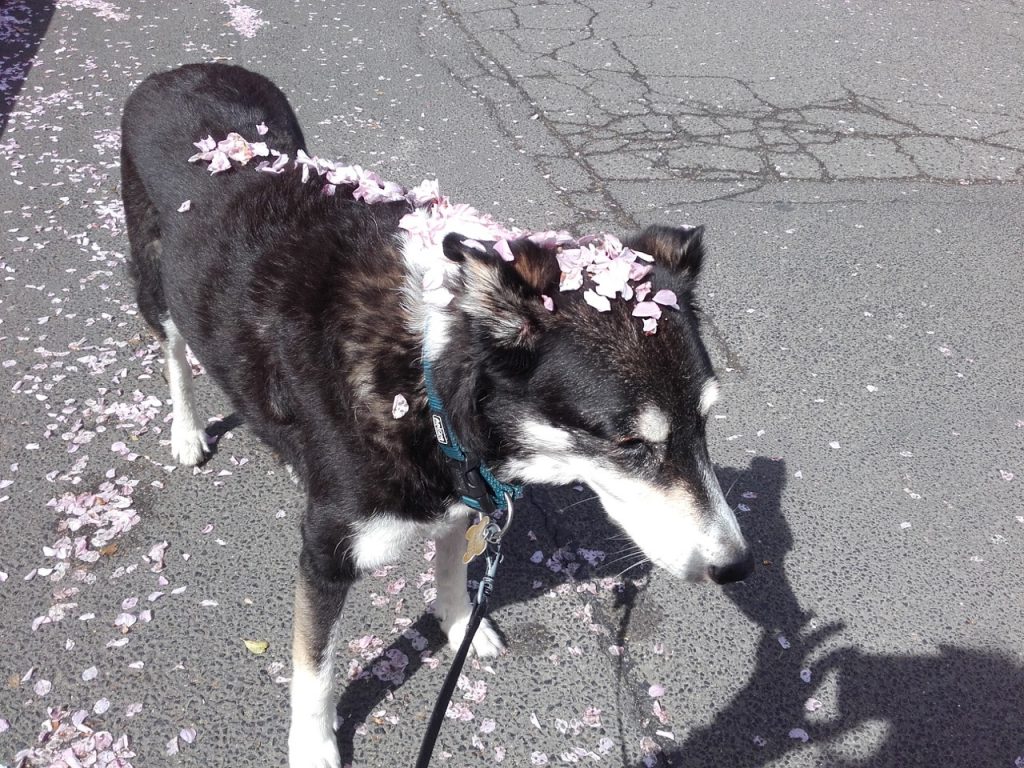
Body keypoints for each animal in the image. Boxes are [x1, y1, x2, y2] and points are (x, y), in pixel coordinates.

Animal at [123, 63, 757, 765]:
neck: (427, 376)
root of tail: (179, 72)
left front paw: (460, 630)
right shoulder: (326, 554)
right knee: (173, 350)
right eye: (628, 444)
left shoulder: (462, 492)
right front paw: (314, 746)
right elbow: (315, 667)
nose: (737, 566)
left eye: (705, 421)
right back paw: (186, 431)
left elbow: (453, 567)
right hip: (157, 284)